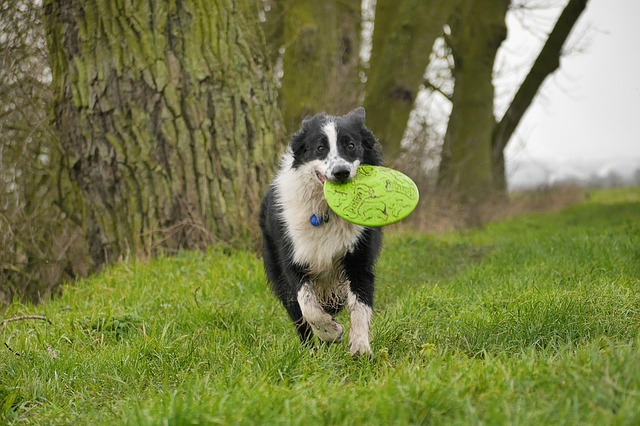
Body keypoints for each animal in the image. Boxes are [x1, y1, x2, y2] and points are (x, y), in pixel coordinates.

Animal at [258, 107, 382, 356]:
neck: (327, 210)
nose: (341, 172)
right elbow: (308, 306)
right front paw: (331, 332)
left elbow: (360, 304)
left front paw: (360, 347)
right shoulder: (293, 259)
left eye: (350, 145)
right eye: (320, 148)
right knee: (299, 315)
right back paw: (312, 351)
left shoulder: (358, 258)